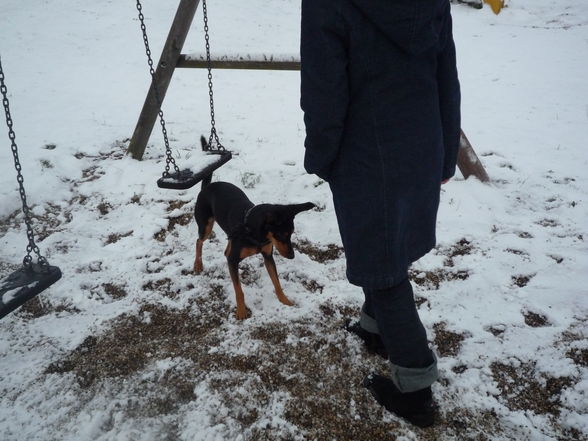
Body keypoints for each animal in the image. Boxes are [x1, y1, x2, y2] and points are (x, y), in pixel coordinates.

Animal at [194, 180, 314, 318]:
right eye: (280, 235)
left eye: (291, 233)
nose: (292, 256)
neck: (254, 233)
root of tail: (208, 185)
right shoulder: (233, 260)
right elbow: (239, 290)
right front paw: (241, 311)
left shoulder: (268, 257)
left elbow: (277, 282)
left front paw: (285, 300)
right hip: (206, 226)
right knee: (198, 241)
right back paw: (198, 265)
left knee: (225, 247)